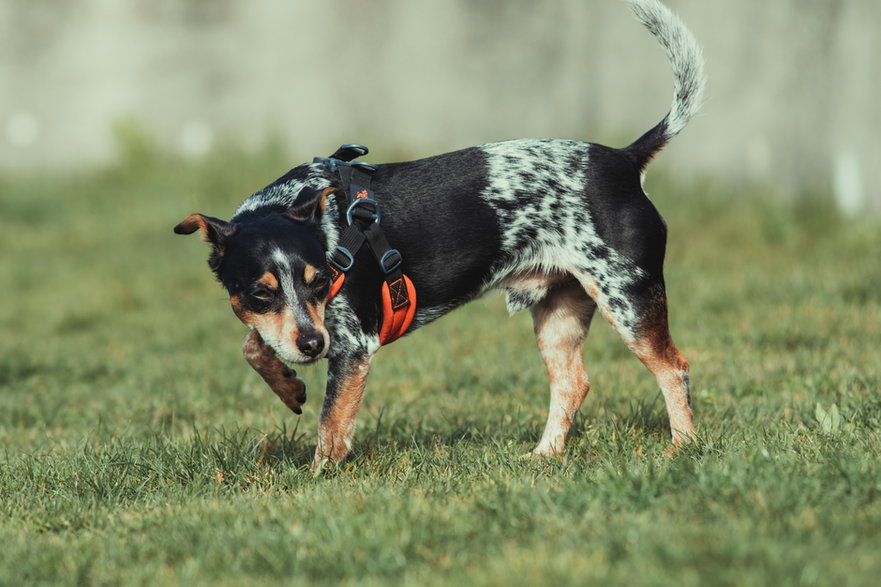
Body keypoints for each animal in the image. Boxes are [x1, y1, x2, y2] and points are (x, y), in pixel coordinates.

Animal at [175, 0, 704, 468]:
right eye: (260, 294)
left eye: (321, 282)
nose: (311, 347)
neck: (325, 230)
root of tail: (626, 159)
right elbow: (253, 345)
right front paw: (289, 387)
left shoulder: (352, 346)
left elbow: (330, 429)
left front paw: (318, 478)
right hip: (560, 311)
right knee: (574, 383)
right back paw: (544, 455)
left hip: (628, 299)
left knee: (673, 368)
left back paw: (682, 448)